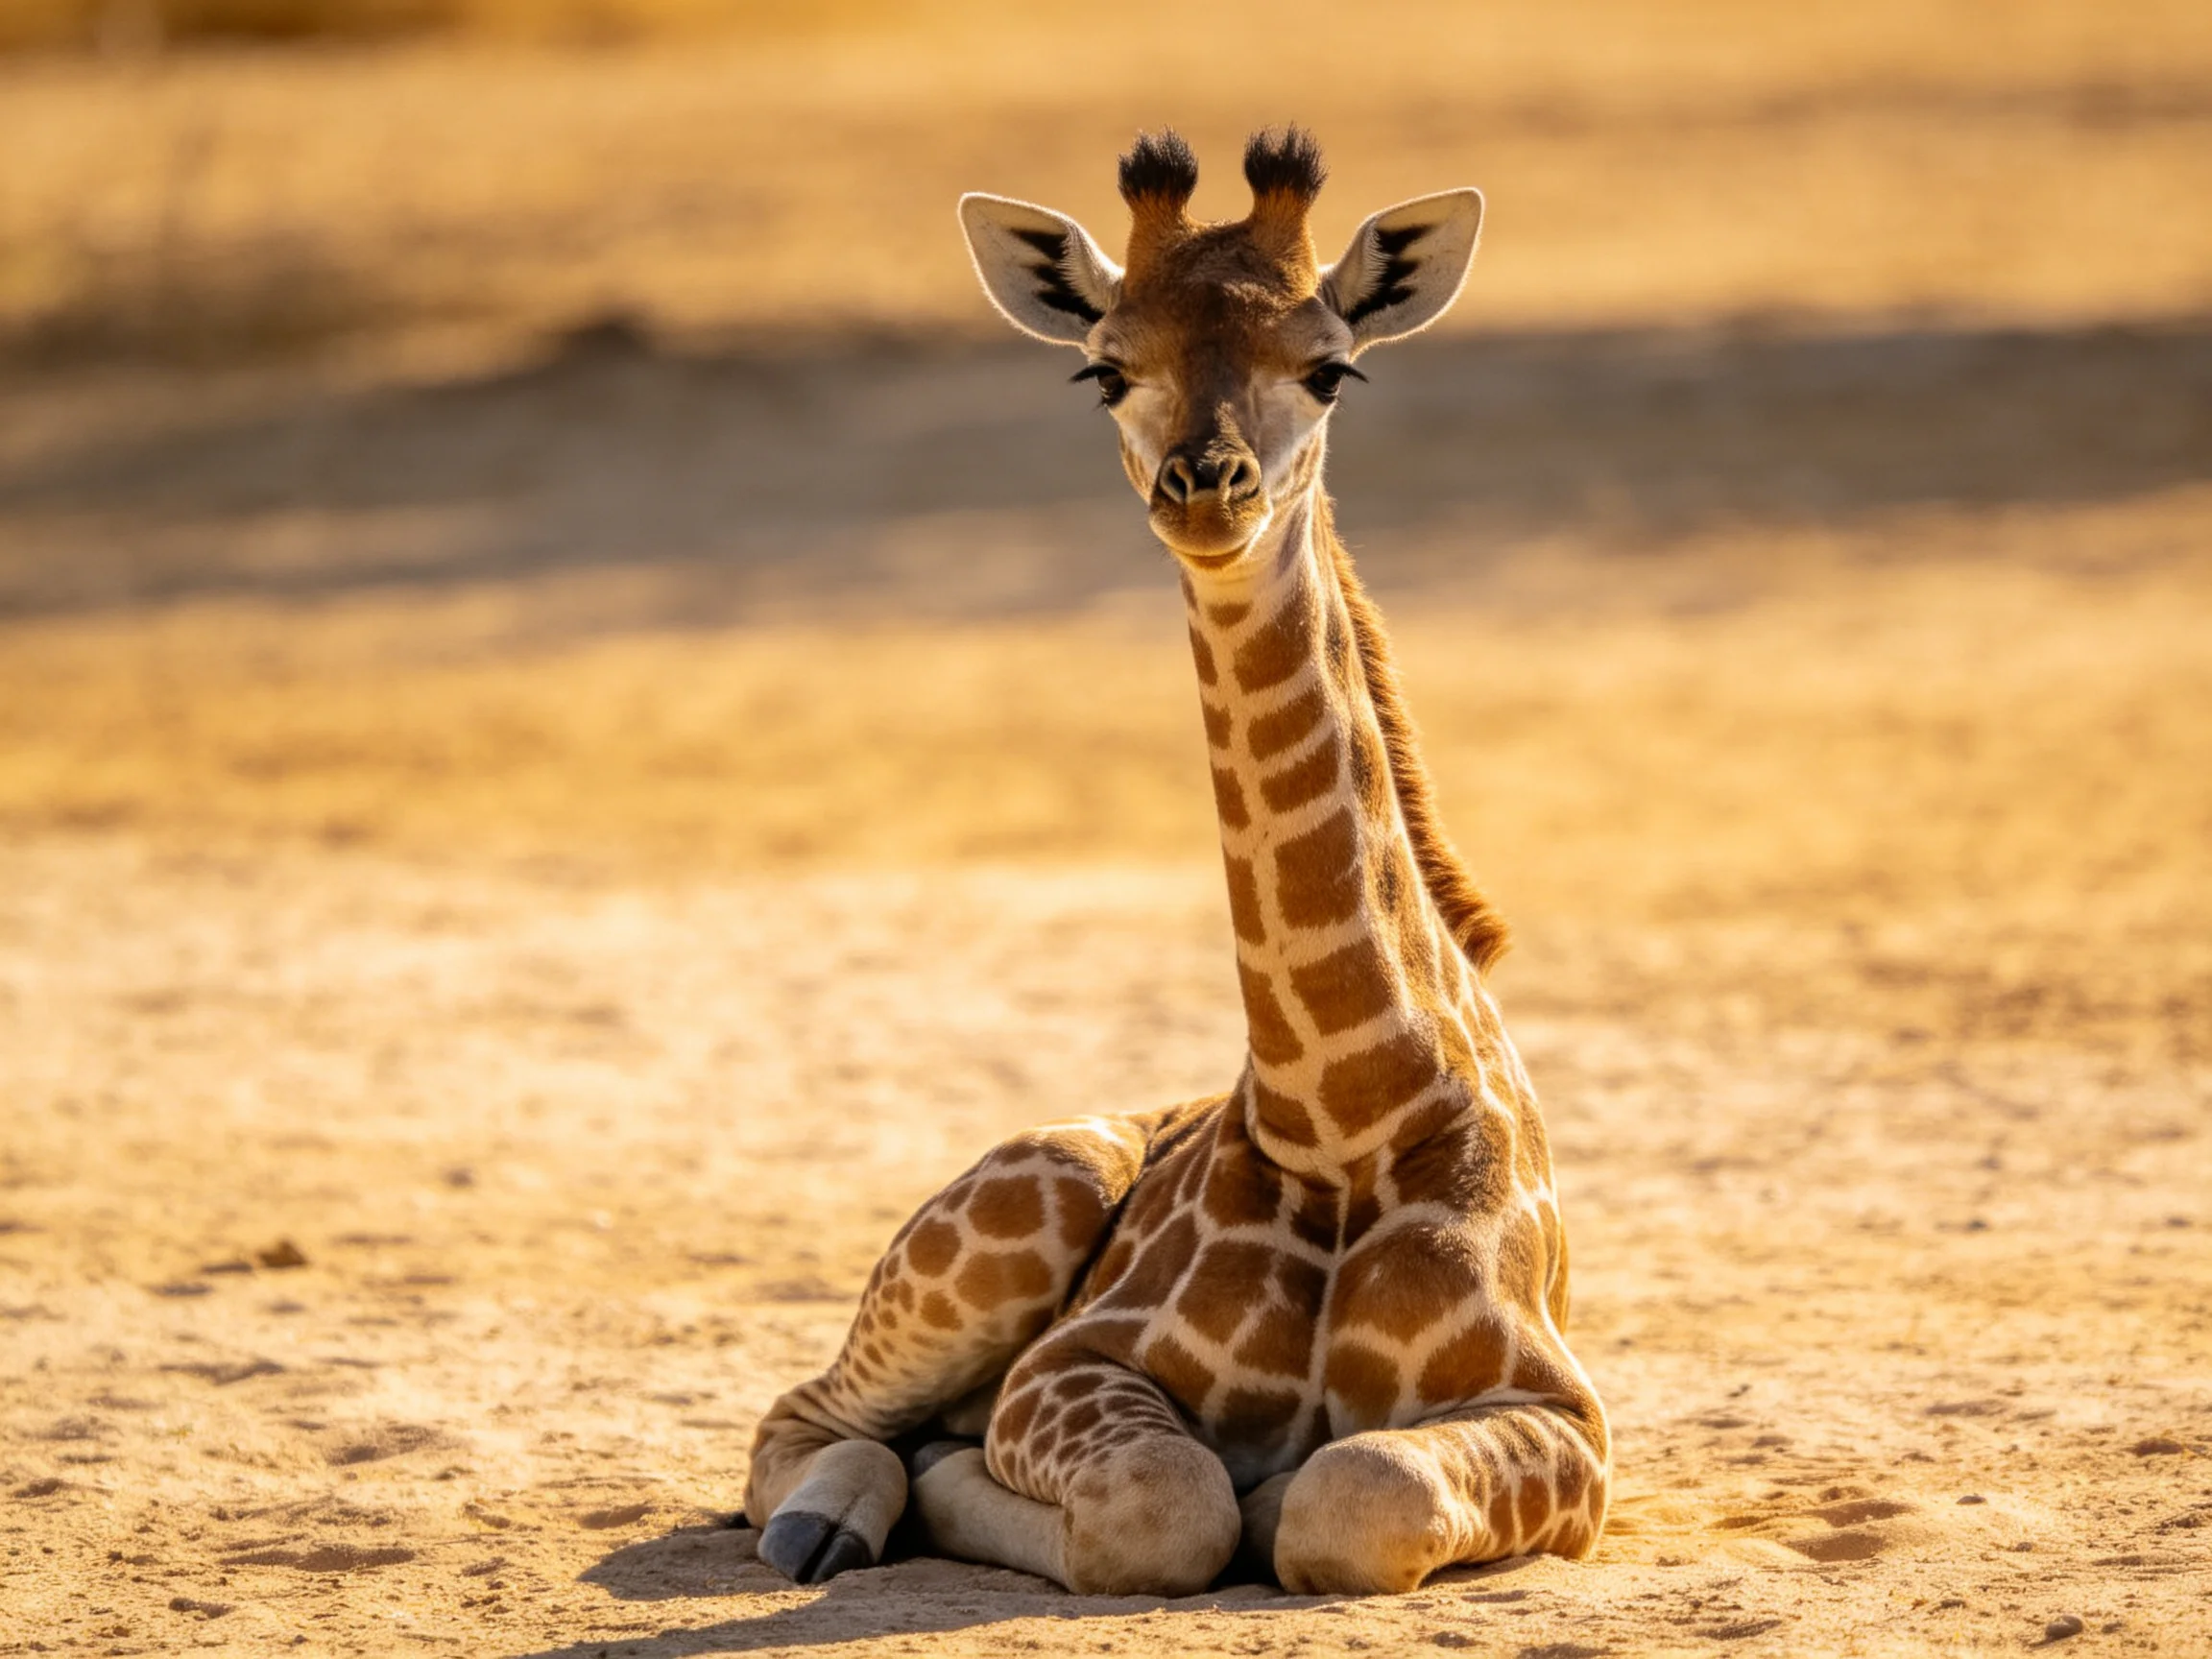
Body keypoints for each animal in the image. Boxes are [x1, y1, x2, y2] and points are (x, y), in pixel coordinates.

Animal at [744, 127, 1609, 1598]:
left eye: (1331, 365)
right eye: (1105, 368)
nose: (1207, 489)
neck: (1345, 1112)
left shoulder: (1568, 1418)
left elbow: (1356, 1489)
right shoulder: (1065, 1367)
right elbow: (1171, 1503)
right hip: (1030, 1195)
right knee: (801, 1420)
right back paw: (830, 1521)